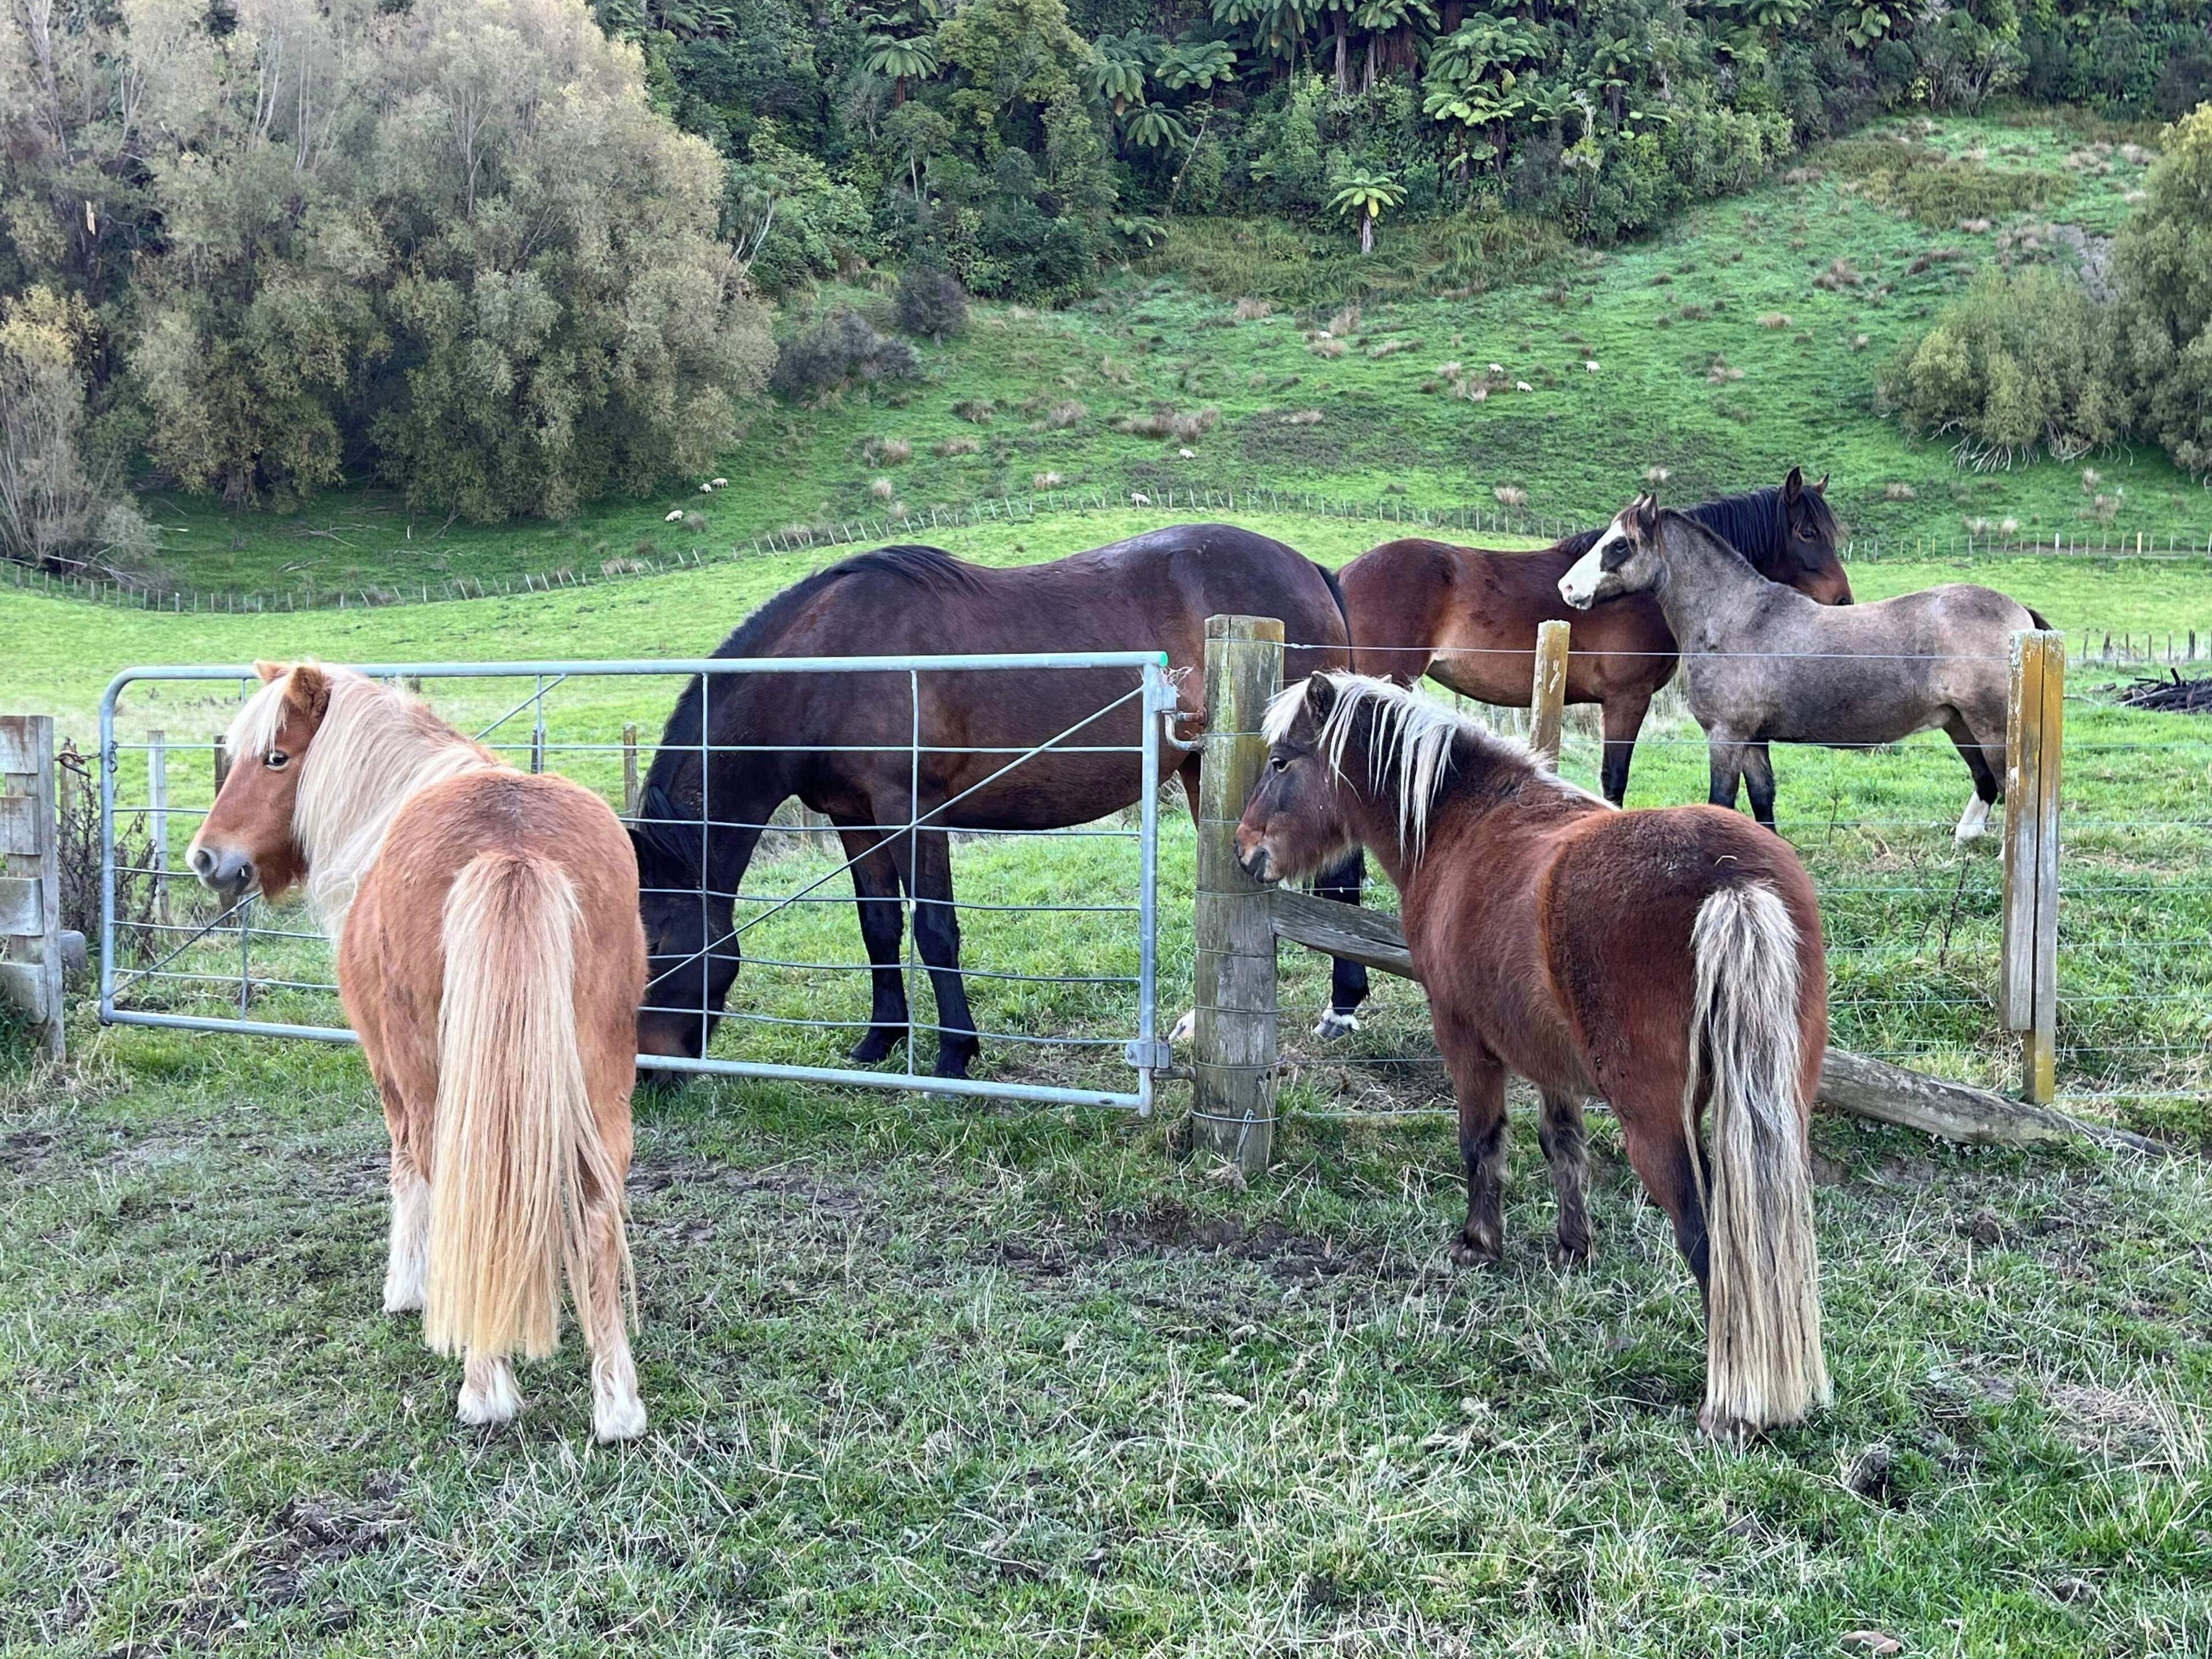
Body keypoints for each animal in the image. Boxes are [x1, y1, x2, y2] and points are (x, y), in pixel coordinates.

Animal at [187, 662, 649, 1443]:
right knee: (594, 1214)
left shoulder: (389, 1066)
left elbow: (407, 1171)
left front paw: (408, 1288)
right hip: (601, 1088)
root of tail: (513, 849)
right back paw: (616, 1405)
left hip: (440, 1082)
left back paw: (485, 1388)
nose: (207, 858)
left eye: (275, 757)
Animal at [631, 527, 1360, 1078]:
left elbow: (935, 929)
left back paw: (1343, 1007)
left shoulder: (909, 810)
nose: (648, 1072)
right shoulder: (852, 817)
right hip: (1201, 767)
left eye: (658, 940)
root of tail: (1311, 570)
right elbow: (878, 927)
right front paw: (880, 1038)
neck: (827, 666)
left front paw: (955, 1052)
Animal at [1236, 671, 1831, 1439]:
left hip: (1659, 1127)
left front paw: (1478, 1242)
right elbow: (1563, 1144)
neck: (1464, 821)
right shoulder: (1552, 1061)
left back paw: (1726, 1405)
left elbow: (1481, 1140)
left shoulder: (1465, 1039)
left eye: (1281, 762)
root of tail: (1734, 883)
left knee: (1709, 1240)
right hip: (1776, 1111)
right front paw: (1573, 1245)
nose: (1246, 848)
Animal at [1335, 468, 1852, 806]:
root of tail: (1344, 574)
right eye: (1808, 532)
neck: (1645, 588)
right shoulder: (1627, 700)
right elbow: (1614, 779)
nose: (1844, 599)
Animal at [1560, 496, 2050, 847]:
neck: (1737, 618)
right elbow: (1762, 799)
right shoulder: (1753, 738)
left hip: (1990, 725)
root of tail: (2020, 615)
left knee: (2012, 784)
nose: (1568, 587)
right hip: (1959, 722)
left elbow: (1722, 801)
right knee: (1987, 780)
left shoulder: (1726, 735)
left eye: (1619, 545)